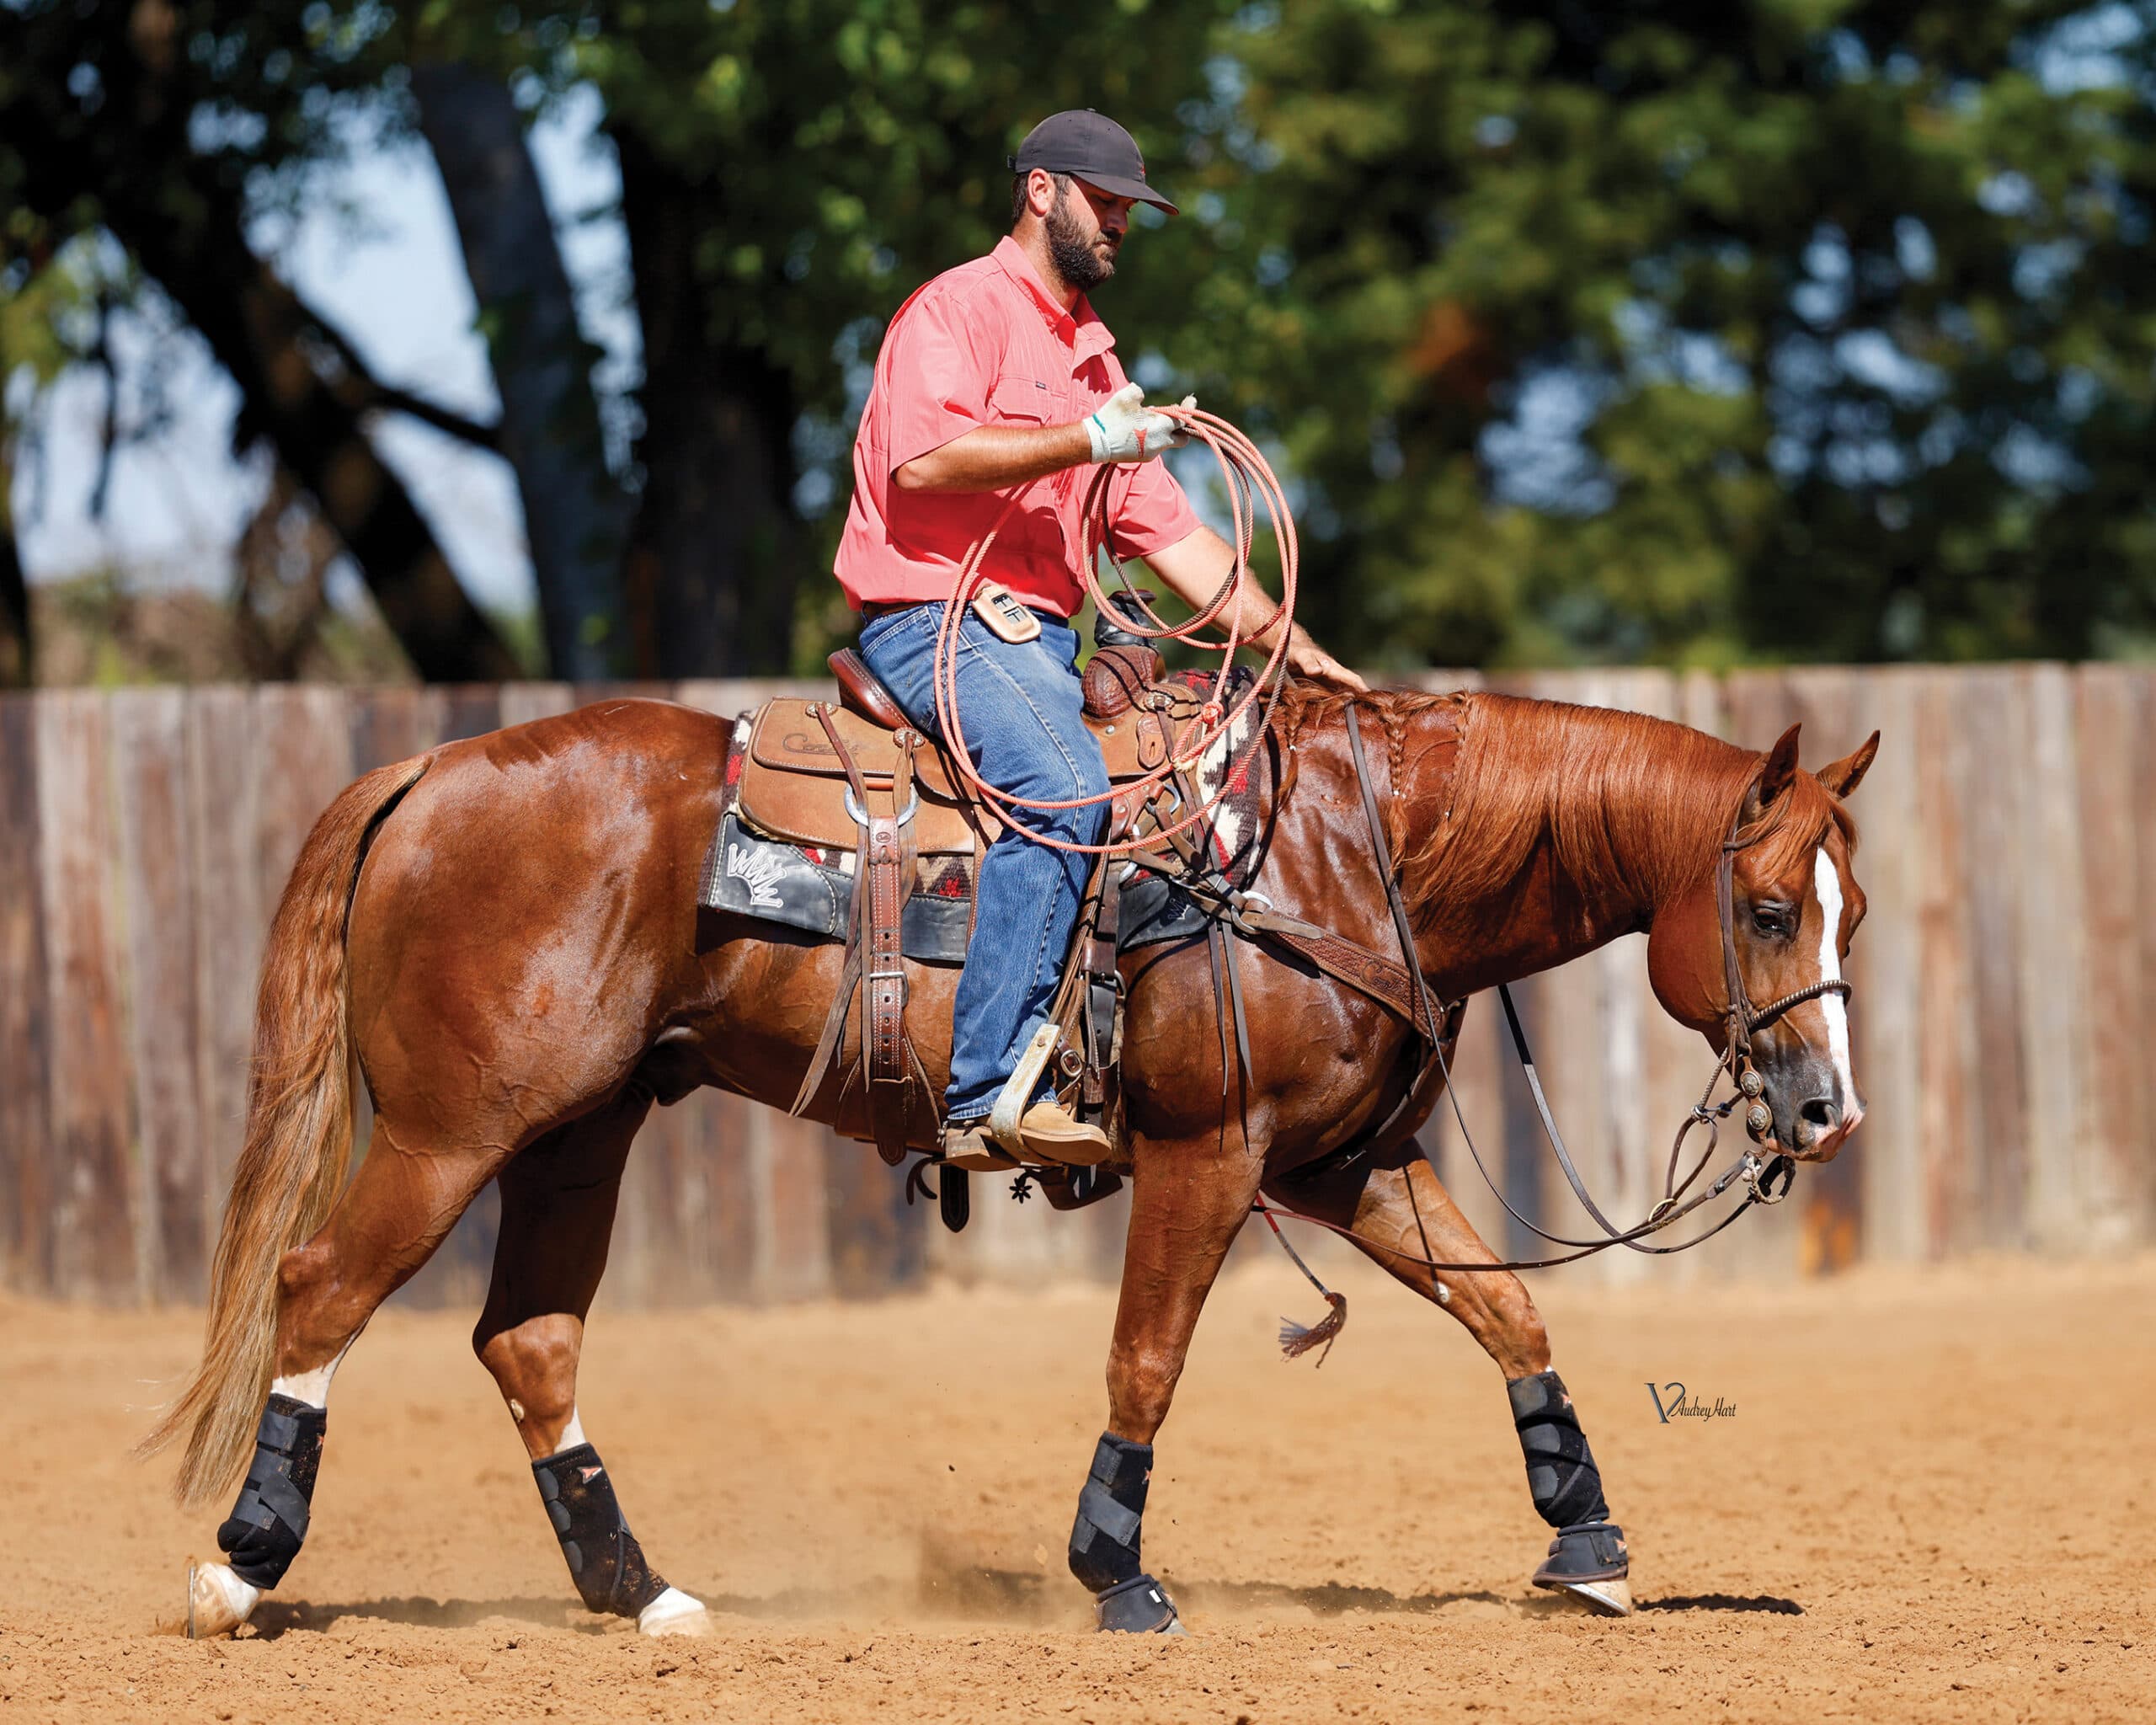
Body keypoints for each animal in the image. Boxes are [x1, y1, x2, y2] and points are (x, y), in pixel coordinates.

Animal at [143, 681, 1876, 1638]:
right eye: (1768, 908)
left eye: (1848, 907)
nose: (1824, 1112)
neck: (1342, 850)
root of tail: (433, 773)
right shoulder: (1210, 1155)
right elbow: (1148, 1359)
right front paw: (1116, 1571)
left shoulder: (1344, 1164)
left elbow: (1509, 1308)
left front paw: (1588, 1542)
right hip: (455, 1131)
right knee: (320, 1290)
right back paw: (241, 1571)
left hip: (582, 1130)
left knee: (530, 1340)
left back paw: (641, 1594)